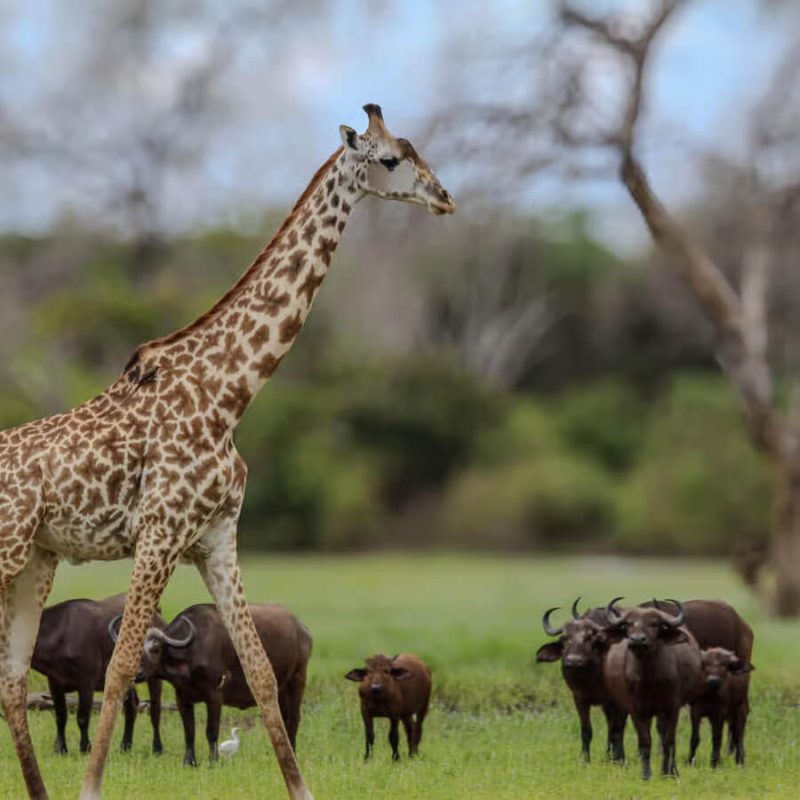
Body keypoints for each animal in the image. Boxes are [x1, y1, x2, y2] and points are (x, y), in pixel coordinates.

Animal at [0, 103, 455, 800]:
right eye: (389, 160)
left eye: (415, 150)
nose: (444, 197)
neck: (231, 394)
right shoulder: (160, 533)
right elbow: (122, 667)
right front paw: (91, 788)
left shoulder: (216, 538)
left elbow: (262, 672)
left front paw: (302, 789)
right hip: (8, 553)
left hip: (34, 561)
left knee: (11, 679)